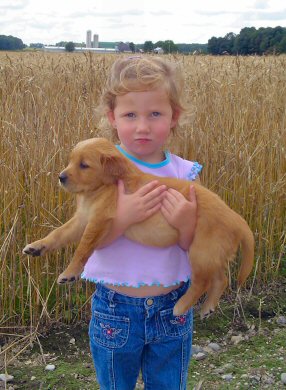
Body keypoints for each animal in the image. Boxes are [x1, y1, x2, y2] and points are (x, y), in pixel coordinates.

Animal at [23, 137, 254, 316]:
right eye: (71, 161)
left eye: (84, 165)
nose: (60, 177)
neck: (102, 187)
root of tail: (237, 218)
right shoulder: (82, 219)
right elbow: (58, 234)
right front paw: (37, 246)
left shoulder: (99, 220)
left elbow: (82, 248)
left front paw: (69, 272)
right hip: (212, 252)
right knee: (221, 278)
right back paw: (208, 307)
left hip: (201, 251)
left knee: (202, 282)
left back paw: (181, 306)